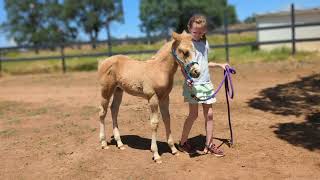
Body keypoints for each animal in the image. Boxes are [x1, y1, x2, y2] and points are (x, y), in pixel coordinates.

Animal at [97, 31, 199, 163]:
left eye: (195, 51)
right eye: (185, 52)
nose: (196, 72)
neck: (159, 69)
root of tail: (104, 61)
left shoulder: (165, 97)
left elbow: (167, 119)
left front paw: (173, 150)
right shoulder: (153, 97)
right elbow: (154, 123)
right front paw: (156, 155)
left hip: (118, 90)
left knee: (114, 109)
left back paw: (120, 144)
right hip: (106, 90)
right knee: (102, 112)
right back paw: (104, 143)